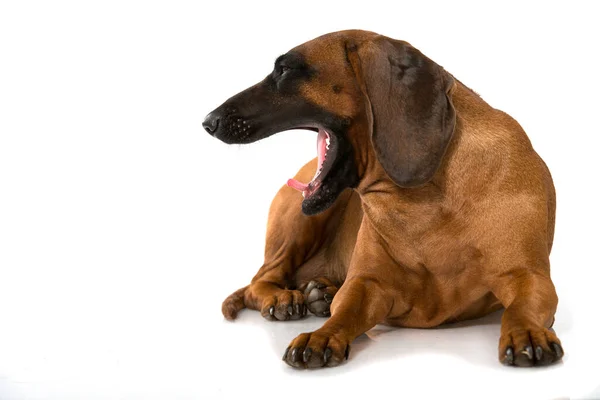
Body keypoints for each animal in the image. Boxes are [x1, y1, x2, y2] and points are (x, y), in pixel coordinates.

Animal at [203, 28, 564, 368]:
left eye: (285, 69)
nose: (208, 121)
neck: (424, 203)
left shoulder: (529, 277)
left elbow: (520, 308)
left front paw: (526, 331)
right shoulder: (367, 284)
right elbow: (346, 310)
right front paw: (322, 335)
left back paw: (321, 291)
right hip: (298, 222)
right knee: (259, 281)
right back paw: (284, 298)